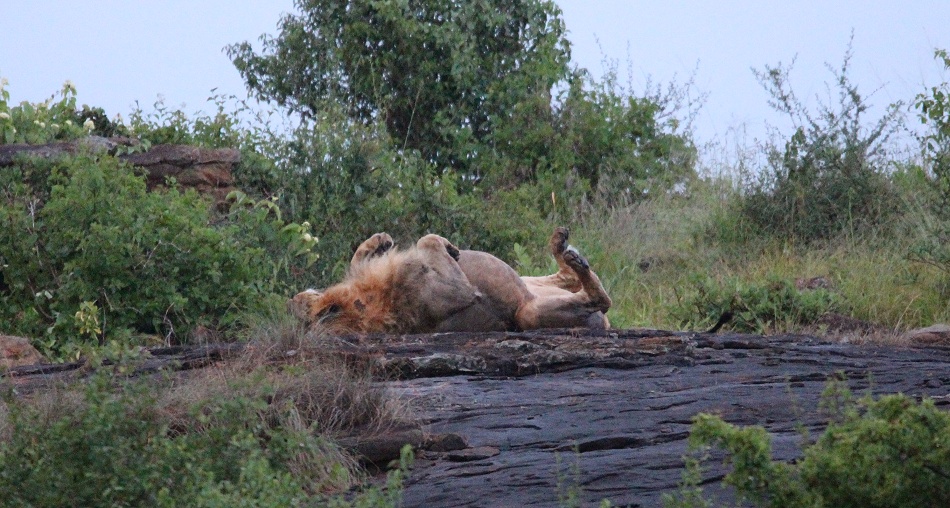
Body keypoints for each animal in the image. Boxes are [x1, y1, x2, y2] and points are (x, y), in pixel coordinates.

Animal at [288, 227, 611, 334]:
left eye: (302, 301)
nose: (290, 299)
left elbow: (357, 260)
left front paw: (379, 241)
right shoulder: (459, 293)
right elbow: (425, 239)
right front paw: (448, 246)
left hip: (531, 281)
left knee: (569, 278)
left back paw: (562, 244)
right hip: (528, 313)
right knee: (600, 300)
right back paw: (575, 260)